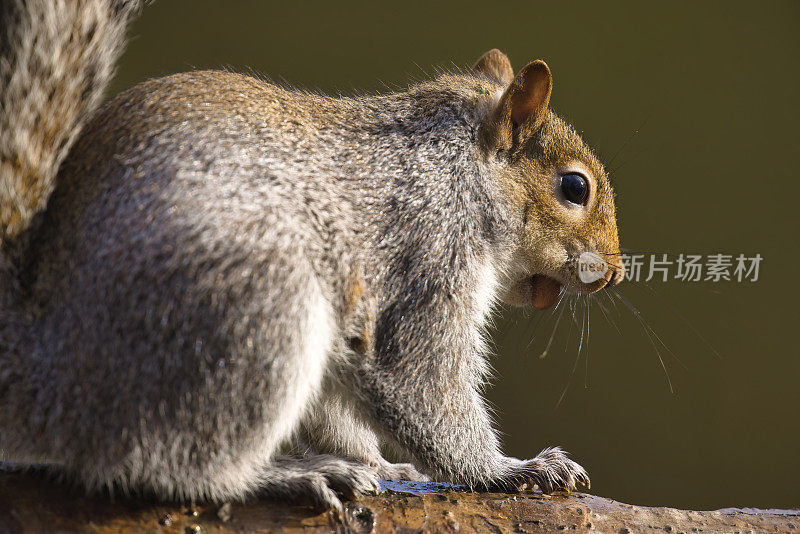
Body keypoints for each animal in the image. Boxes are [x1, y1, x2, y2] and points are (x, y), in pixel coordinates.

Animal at [0, 0, 624, 512]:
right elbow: (421, 385)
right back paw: (285, 476)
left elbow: (343, 410)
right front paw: (513, 470)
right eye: (574, 187)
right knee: (174, 464)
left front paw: (380, 463)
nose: (614, 273)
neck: (458, 170)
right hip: (256, 310)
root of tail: (43, 373)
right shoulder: (426, 257)